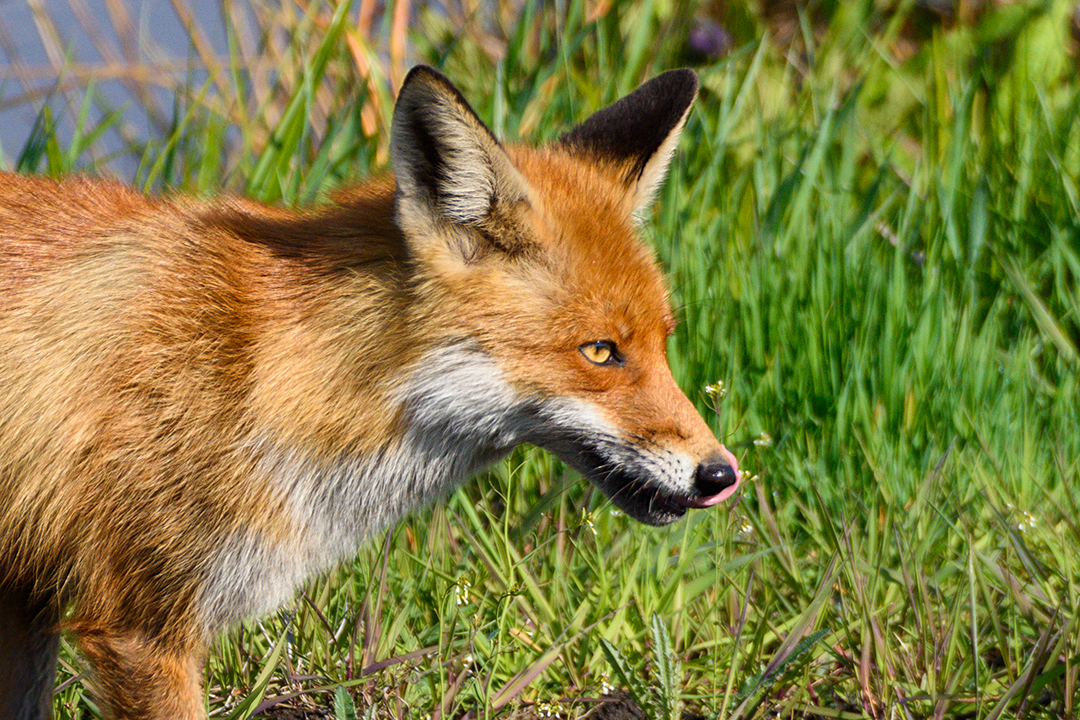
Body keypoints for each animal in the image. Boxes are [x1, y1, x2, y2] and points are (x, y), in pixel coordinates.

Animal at [0, 64, 738, 716]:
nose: (723, 475)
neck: (265, 374)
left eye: (663, 343)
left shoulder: (28, 596)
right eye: (601, 352)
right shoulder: (140, 624)